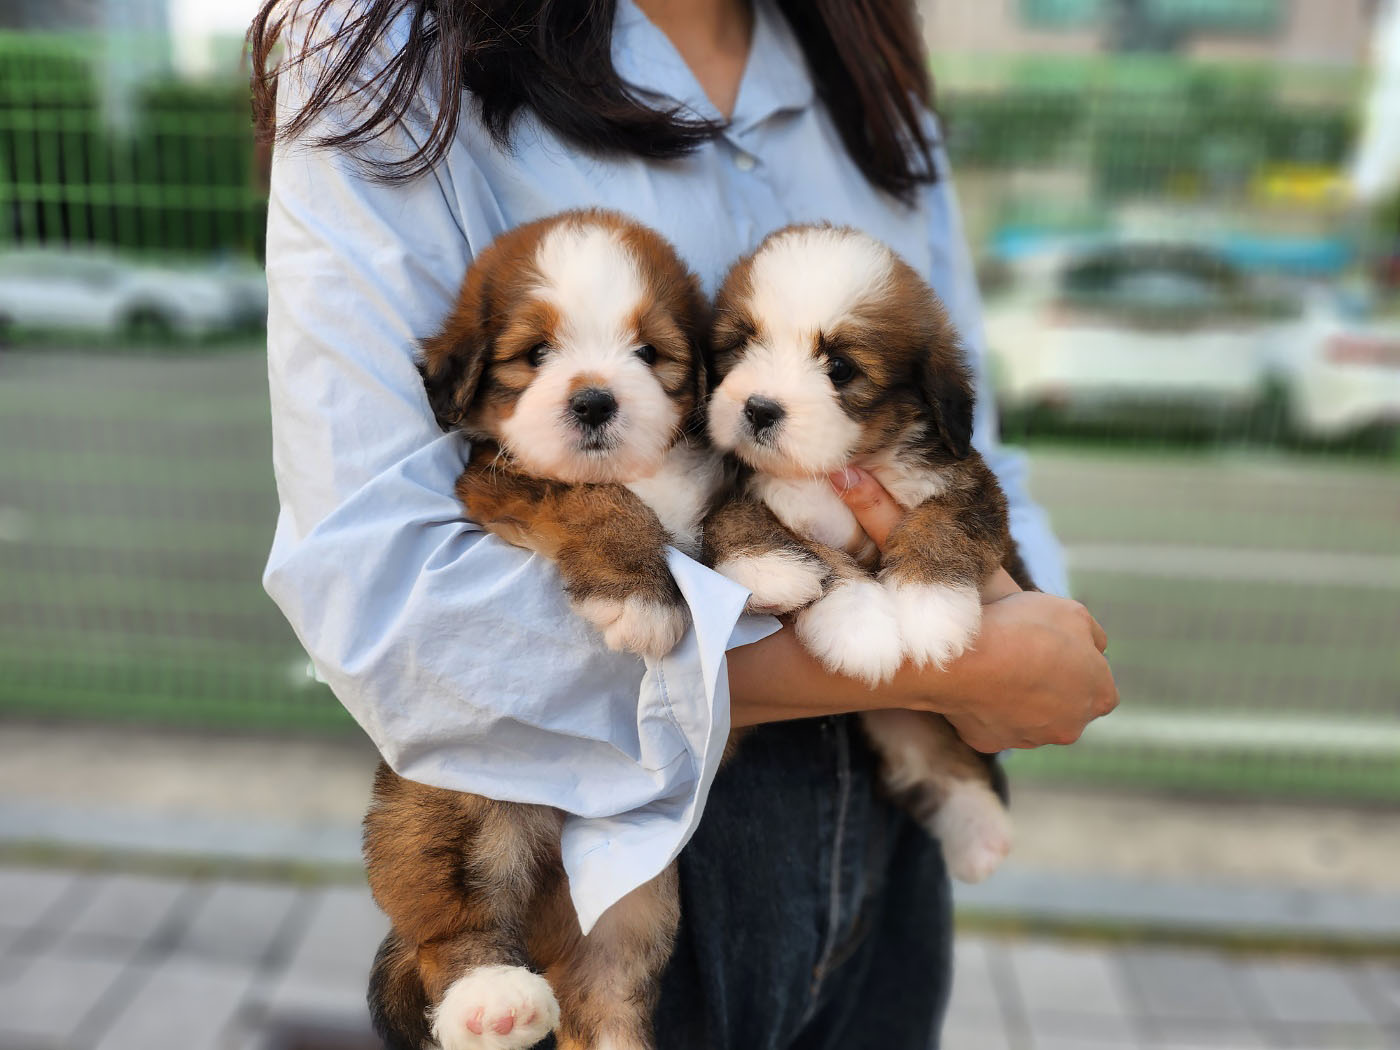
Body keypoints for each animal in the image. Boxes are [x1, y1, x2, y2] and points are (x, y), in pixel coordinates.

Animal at [365, 210, 719, 1050]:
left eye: (648, 353)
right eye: (536, 355)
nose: (593, 402)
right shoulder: (498, 481)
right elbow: (592, 502)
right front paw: (642, 593)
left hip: (633, 897)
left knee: (604, 992)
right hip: (459, 803)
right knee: (452, 924)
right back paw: (490, 997)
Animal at [702, 223, 1025, 883]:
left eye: (841, 367)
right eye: (741, 345)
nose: (758, 408)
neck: (831, 471)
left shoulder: (970, 486)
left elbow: (942, 524)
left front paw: (929, 607)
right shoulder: (741, 487)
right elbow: (766, 529)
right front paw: (840, 611)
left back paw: (981, 833)